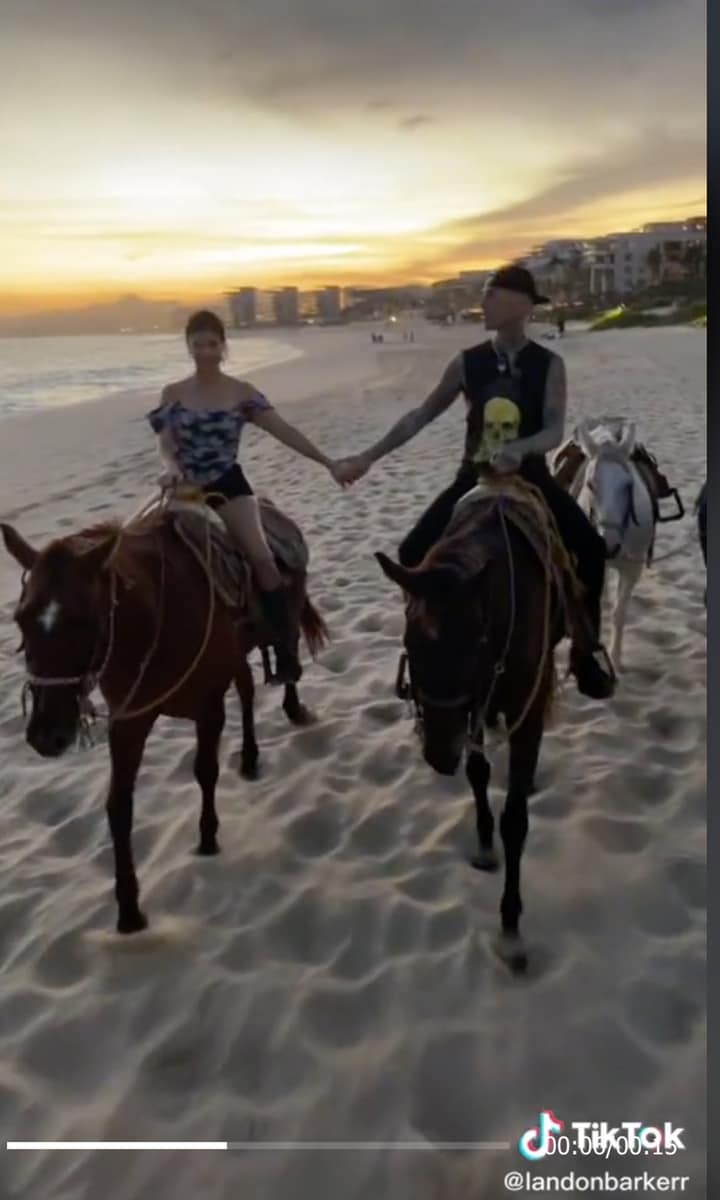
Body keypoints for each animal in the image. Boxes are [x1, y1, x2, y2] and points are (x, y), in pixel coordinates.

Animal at [1, 511, 328, 931]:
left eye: (83, 620)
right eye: (21, 619)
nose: (46, 735)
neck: (157, 616)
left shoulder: (209, 706)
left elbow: (205, 770)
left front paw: (207, 839)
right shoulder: (128, 722)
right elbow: (118, 807)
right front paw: (129, 908)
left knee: (285, 655)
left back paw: (292, 708)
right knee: (247, 690)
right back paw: (250, 757)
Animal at [374, 492, 566, 969]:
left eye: (474, 641)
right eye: (409, 641)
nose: (439, 753)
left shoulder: (523, 706)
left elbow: (515, 820)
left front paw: (511, 927)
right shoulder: (474, 706)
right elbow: (478, 774)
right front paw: (482, 844)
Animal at [568, 417, 657, 672]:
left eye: (628, 485)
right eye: (590, 484)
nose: (608, 546)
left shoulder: (633, 569)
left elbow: (619, 612)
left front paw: (616, 659)